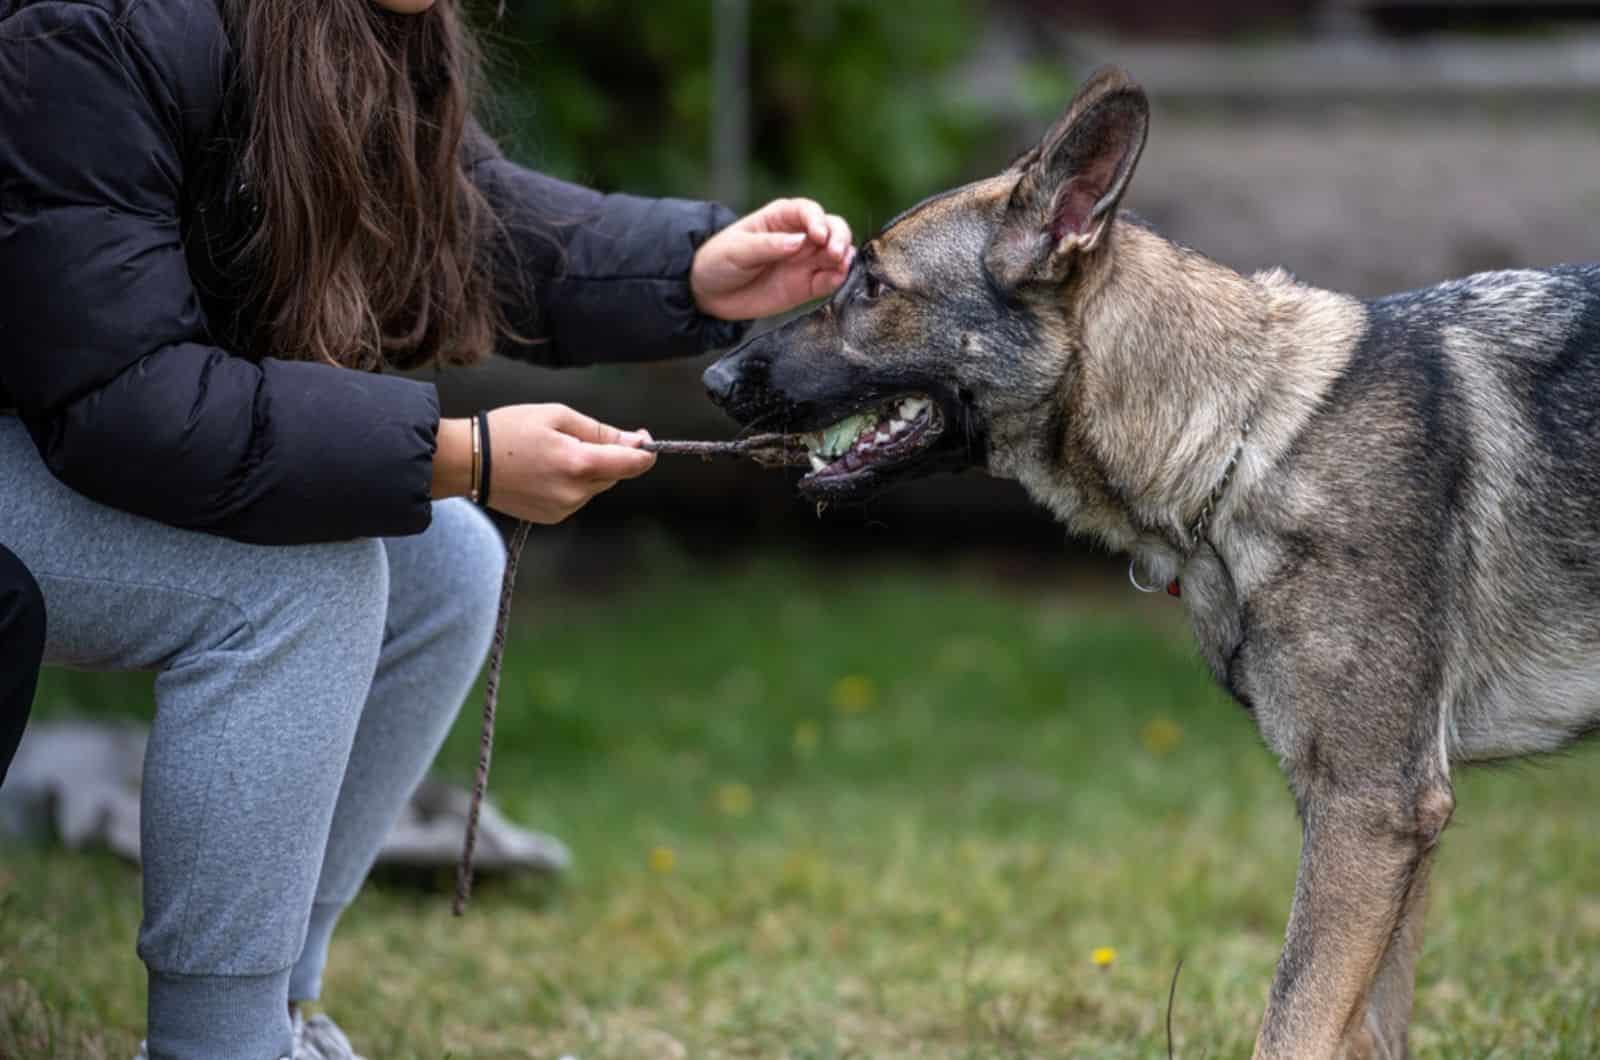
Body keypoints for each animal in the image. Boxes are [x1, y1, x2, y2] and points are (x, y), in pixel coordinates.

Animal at [700, 68, 1600, 1060]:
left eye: (870, 284)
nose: (713, 379)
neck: (1247, 433)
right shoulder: (1381, 826)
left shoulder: (1373, 809)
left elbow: (1291, 1022)